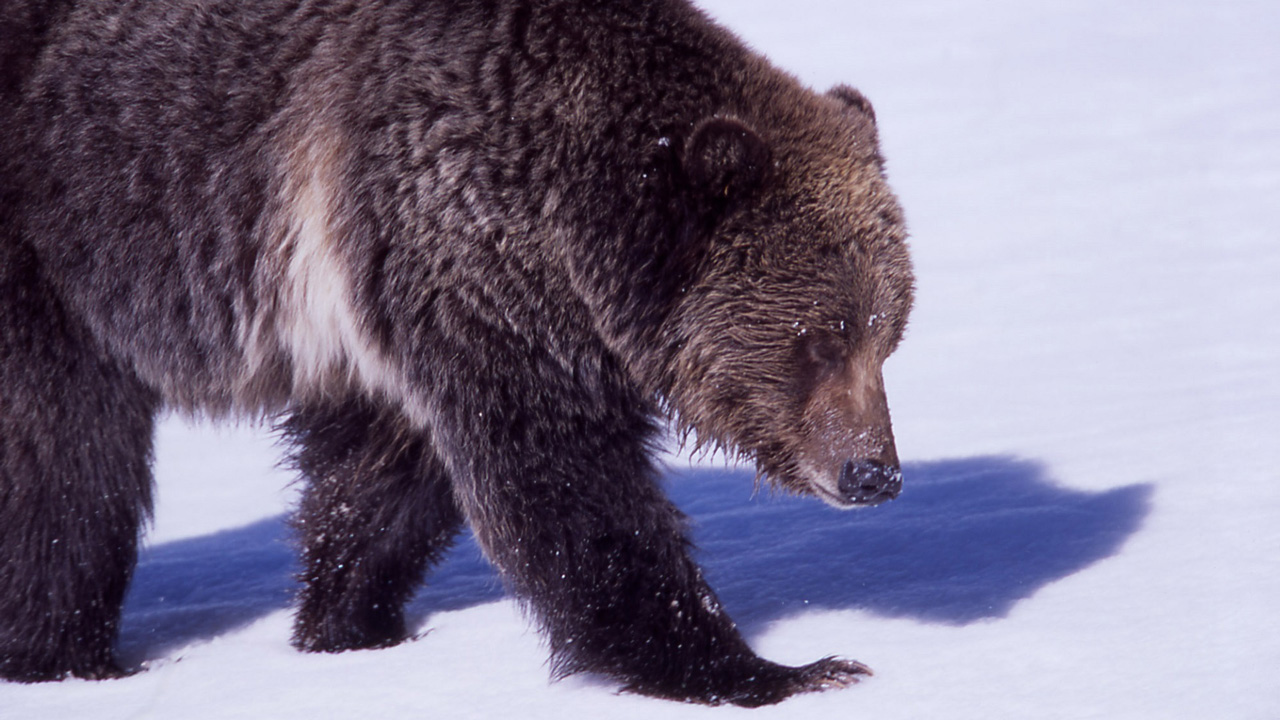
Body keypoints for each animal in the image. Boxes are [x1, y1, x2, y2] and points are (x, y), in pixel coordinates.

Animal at [5, 0, 916, 702]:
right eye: (817, 338)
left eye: (888, 332)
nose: (872, 472)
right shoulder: (465, 248)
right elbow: (566, 486)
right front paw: (772, 668)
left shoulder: (391, 311)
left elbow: (378, 484)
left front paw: (346, 621)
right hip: (56, 242)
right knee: (66, 465)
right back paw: (62, 653)